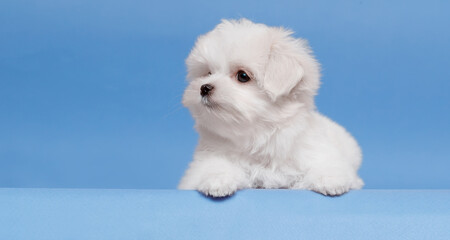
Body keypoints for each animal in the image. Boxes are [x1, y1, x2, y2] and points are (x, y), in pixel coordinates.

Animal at [178, 19, 364, 197]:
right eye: (207, 73)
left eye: (243, 76)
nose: (204, 87)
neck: (258, 136)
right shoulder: (207, 158)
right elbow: (211, 166)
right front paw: (217, 179)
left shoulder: (314, 151)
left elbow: (326, 165)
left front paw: (329, 179)